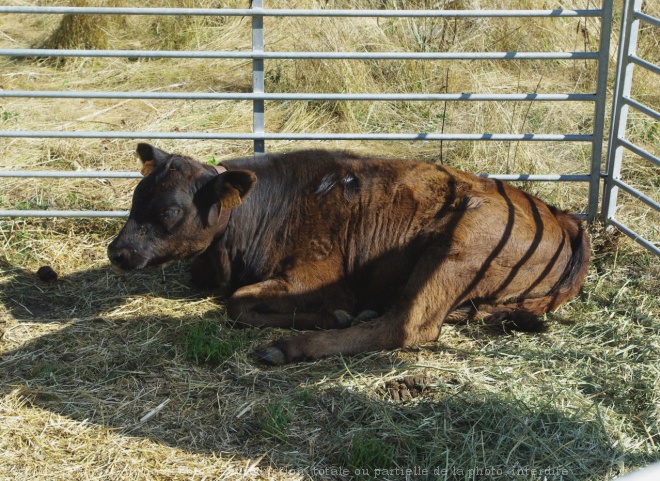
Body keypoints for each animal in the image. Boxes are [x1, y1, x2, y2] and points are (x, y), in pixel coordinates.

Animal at [109, 142, 592, 364]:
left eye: (170, 210)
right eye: (136, 197)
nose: (117, 252)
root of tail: (561, 215)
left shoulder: (316, 278)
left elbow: (238, 302)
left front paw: (332, 316)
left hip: (459, 243)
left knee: (408, 326)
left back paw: (288, 346)